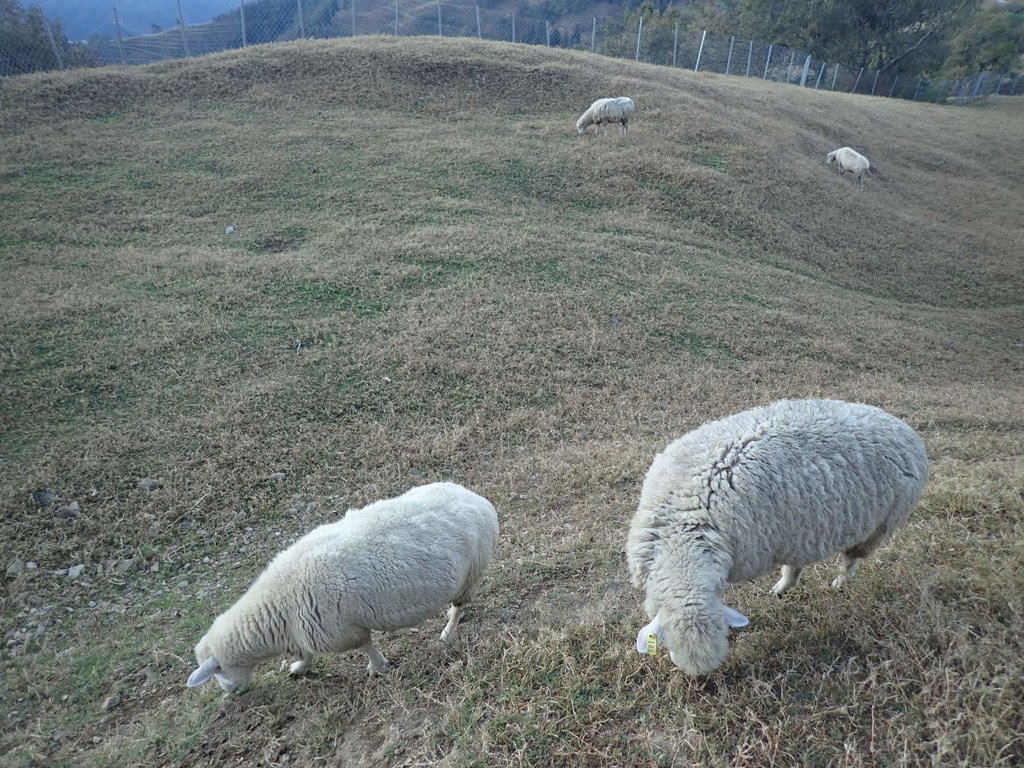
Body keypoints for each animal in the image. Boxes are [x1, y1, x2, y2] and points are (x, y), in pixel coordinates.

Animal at [190, 483, 501, 696]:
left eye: (218, 669)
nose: (232, 693)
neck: (280, 604)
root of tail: (478, 499)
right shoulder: (307, 630)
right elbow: (306, 654)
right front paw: (299, 669)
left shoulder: (342, 630)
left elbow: (366, 646)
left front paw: (377, 668)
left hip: (471, 574)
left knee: (458, 607)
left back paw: (448, 633)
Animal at [622, 399, 929, 675]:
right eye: (668, 643)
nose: (698, 680)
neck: (684, 525)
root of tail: (903, 428)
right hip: (800, 530)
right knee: (797, 562)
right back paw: (782, 589)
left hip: (878, 527)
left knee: (849, 559)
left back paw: (837, 583)